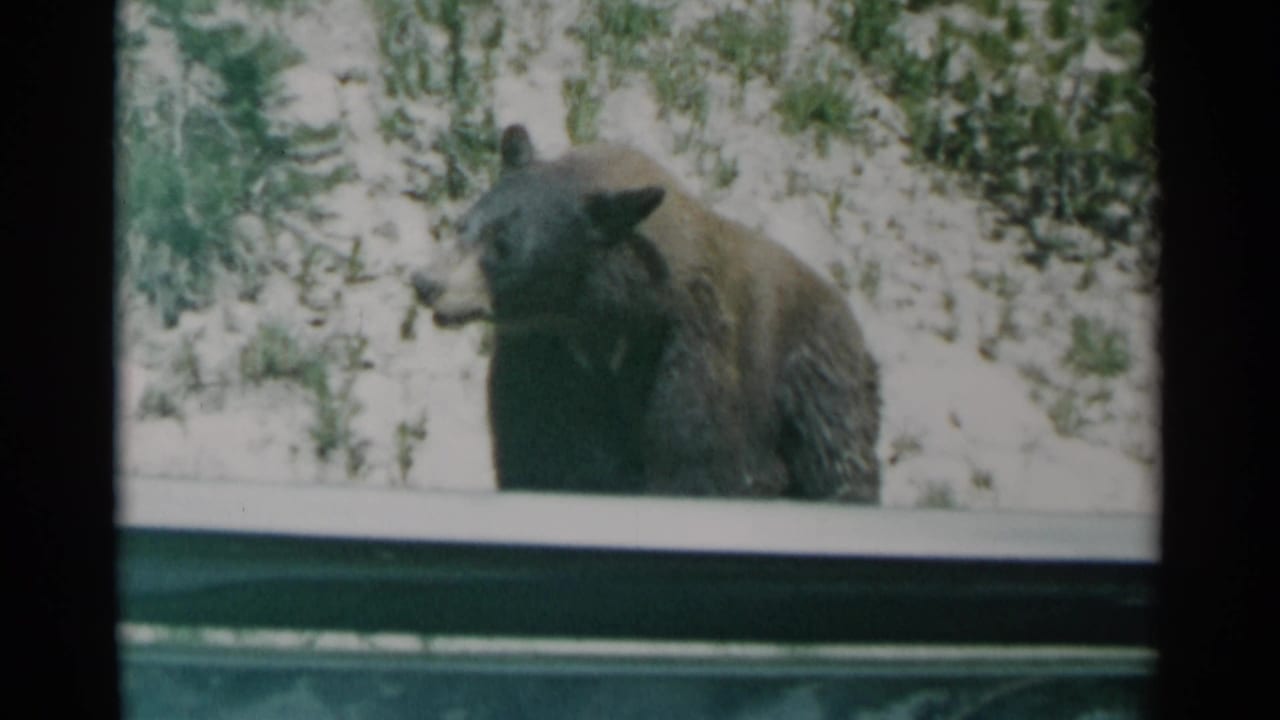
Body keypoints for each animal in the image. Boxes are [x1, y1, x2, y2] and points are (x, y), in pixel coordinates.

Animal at [412, 124, 881, 502]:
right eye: (463, 225)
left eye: (503, 247)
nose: (426, 283)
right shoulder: (544, 362)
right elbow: (539, 453)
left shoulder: (693, 364)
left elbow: (701, 466)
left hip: (817, 384)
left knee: (836, 464)